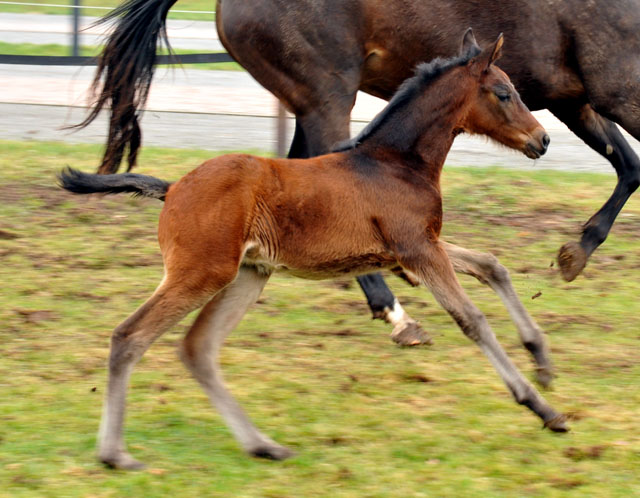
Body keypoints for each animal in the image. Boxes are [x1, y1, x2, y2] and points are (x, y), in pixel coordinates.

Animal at [58, 32, 564, 470]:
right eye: (503, 93)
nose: (542, 140)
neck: (395, 162)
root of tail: (173, 187)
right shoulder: (417, 249)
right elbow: (472, 319)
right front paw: (541, 407)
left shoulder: (416, 247)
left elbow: (492, 266)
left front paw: (541, 360)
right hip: (201, 273)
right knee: (130, 336)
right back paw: (116, 454)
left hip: (248, 274)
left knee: (198, 348)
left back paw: (263, 445)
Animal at [79, 0, 640, 340]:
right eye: (503, 93)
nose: (541, 141)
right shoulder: (616, 89)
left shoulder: (576, 99)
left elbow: (629, 165)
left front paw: (574, 254)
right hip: (328, 92)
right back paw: (394, 310)